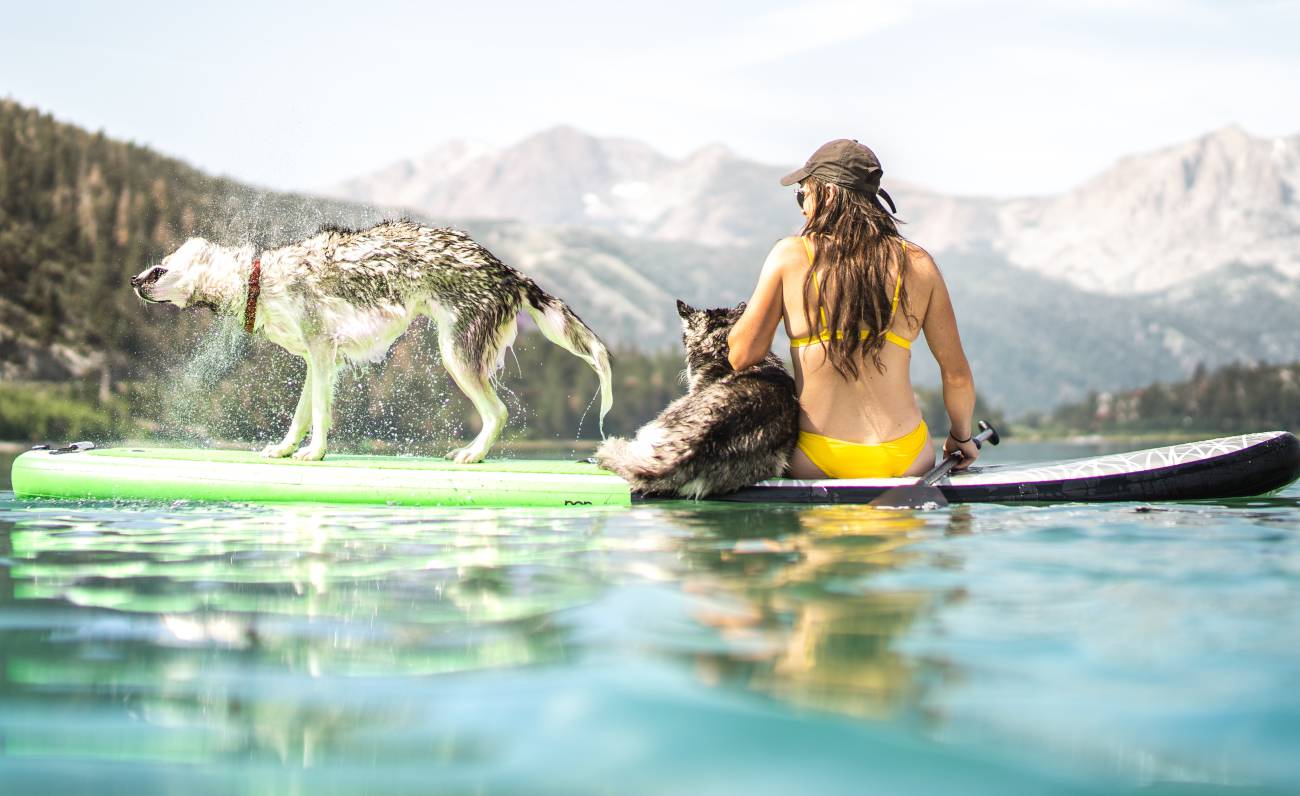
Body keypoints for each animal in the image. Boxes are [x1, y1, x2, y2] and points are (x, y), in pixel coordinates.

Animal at [131, 221, 613, 463]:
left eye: (160, 269)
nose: (133, 280)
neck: (259, 281)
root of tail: (507, 271)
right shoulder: (316, 362)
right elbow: (300, 416)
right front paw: (285, 449)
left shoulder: (323, 352)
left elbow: (320, 416)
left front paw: (315, 454)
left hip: (456, 356)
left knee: (498, 413)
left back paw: (472, 455)